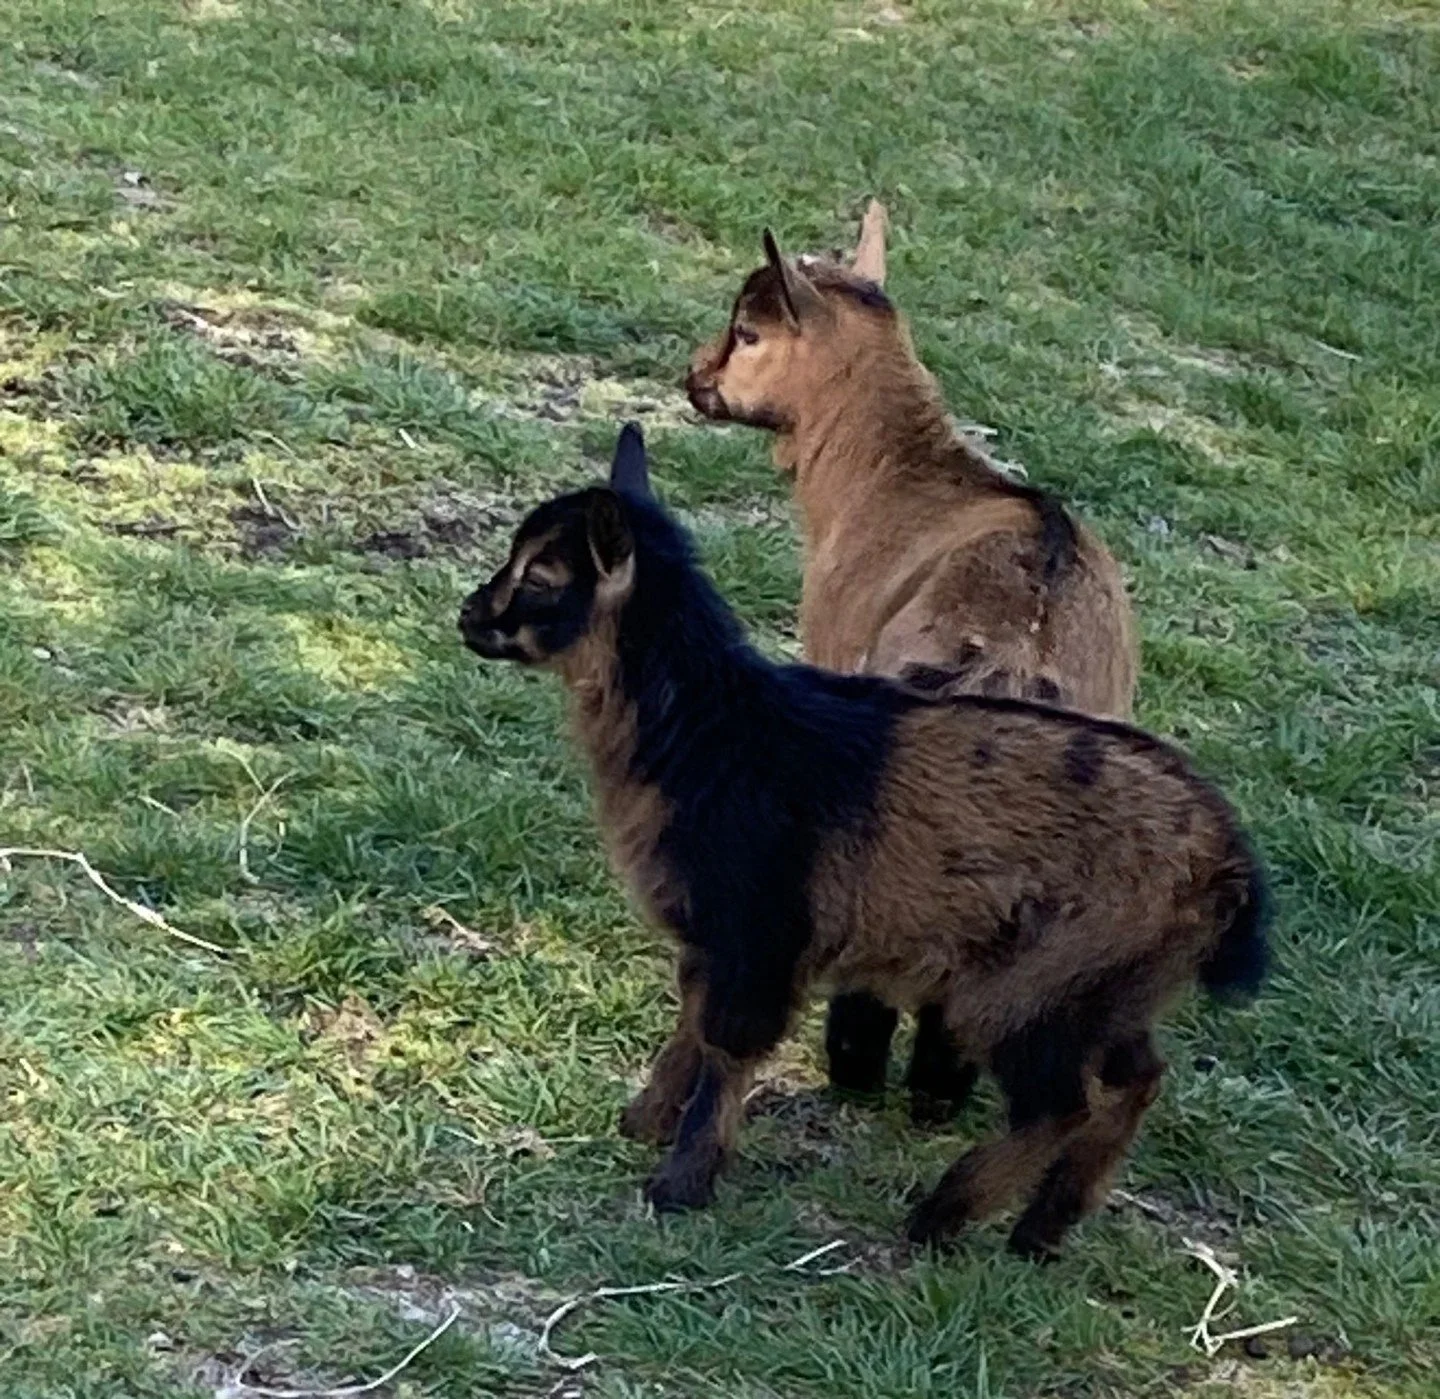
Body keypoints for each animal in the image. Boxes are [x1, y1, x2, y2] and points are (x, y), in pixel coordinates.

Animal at [458, 424, 1268, 1258]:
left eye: (542, 575)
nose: (470, 614)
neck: (714, 734)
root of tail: (1229, 866)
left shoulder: (762, 928)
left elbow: (729, 1047)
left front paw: (681, 1182)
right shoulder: (715, 934)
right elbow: (692, 1025)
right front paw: (645, 1120)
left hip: (1035, 984)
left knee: (1061, 1104)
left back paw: (943, 1214)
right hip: (1114, 985)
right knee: (1136, 1079)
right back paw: (1041, 1230)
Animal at [686, 205, 1140, 1120]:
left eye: (747, 332)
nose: (694, 376)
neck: (897, 474)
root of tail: (1021, 642)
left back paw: (863, 1067)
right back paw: (939, 1086)